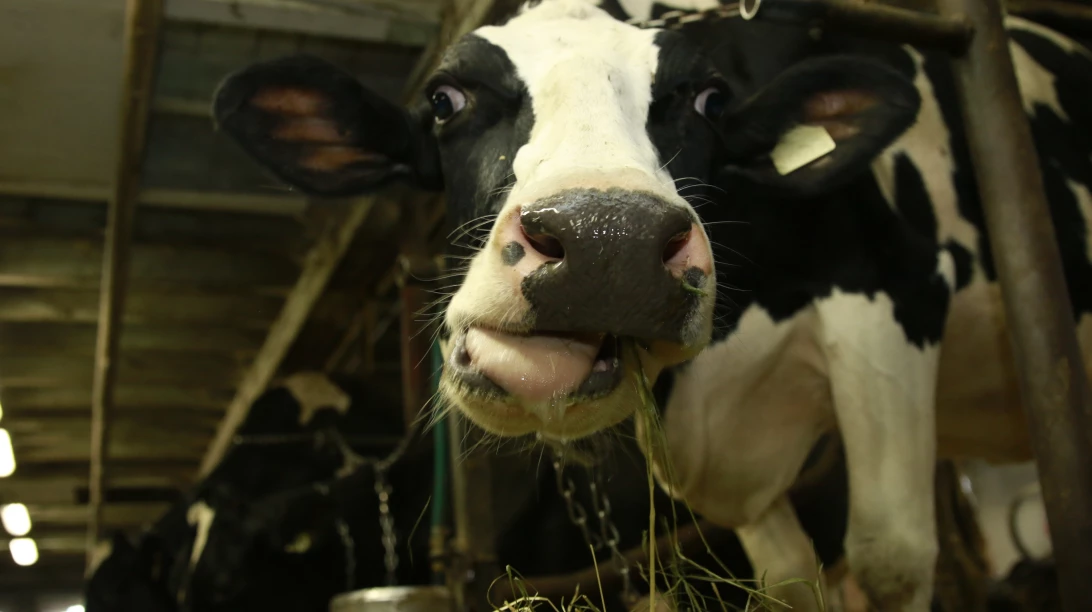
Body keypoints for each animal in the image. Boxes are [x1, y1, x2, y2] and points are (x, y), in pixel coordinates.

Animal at [209, 0, 1092, 609]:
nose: (609, 241)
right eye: (444, 100)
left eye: (708, 100)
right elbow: (792, 581)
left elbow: (892, 556)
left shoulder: (896, 291)